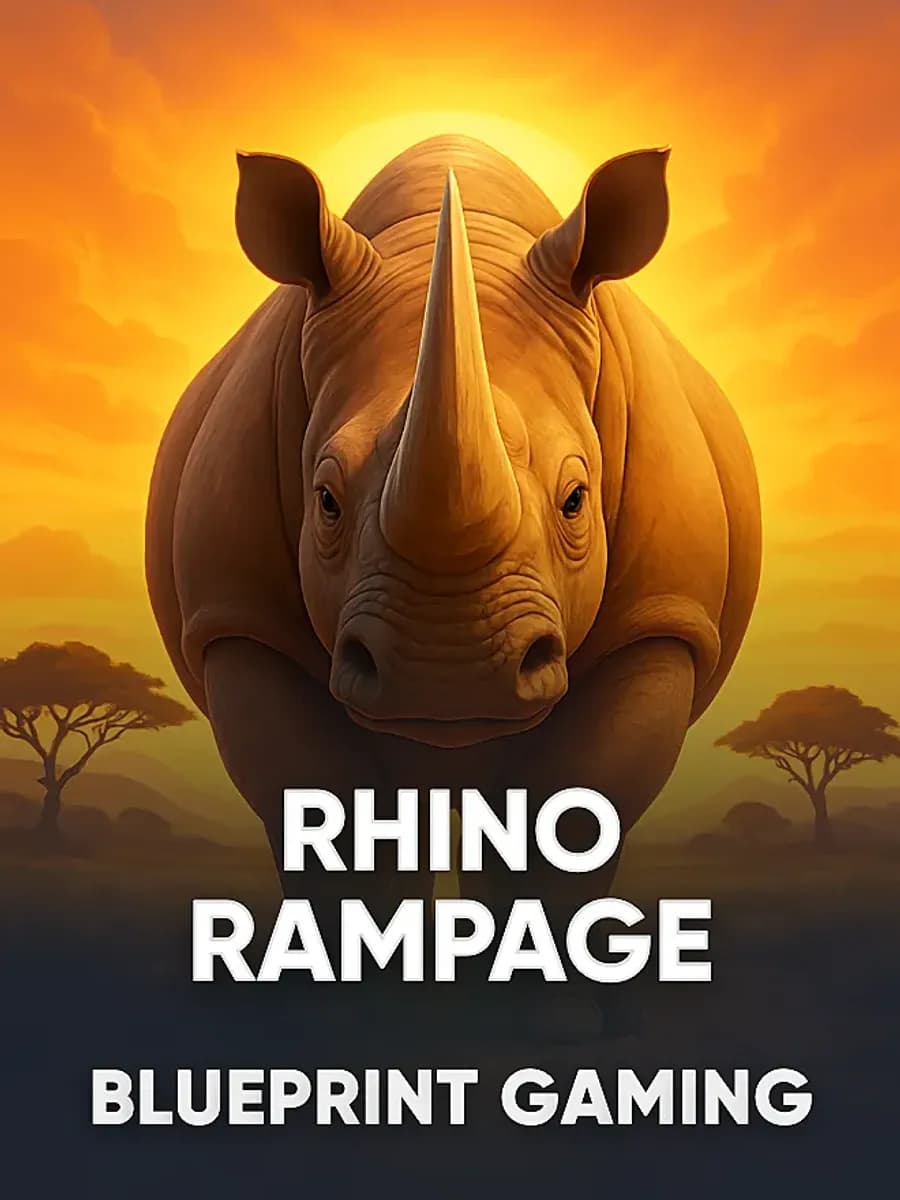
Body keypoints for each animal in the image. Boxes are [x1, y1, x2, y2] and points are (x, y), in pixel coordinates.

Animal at [146, 135, 760, 912]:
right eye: (325, 499)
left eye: (576, 499)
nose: (446, 680)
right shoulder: (238, 616)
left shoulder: (662, 616)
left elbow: (567, 832)